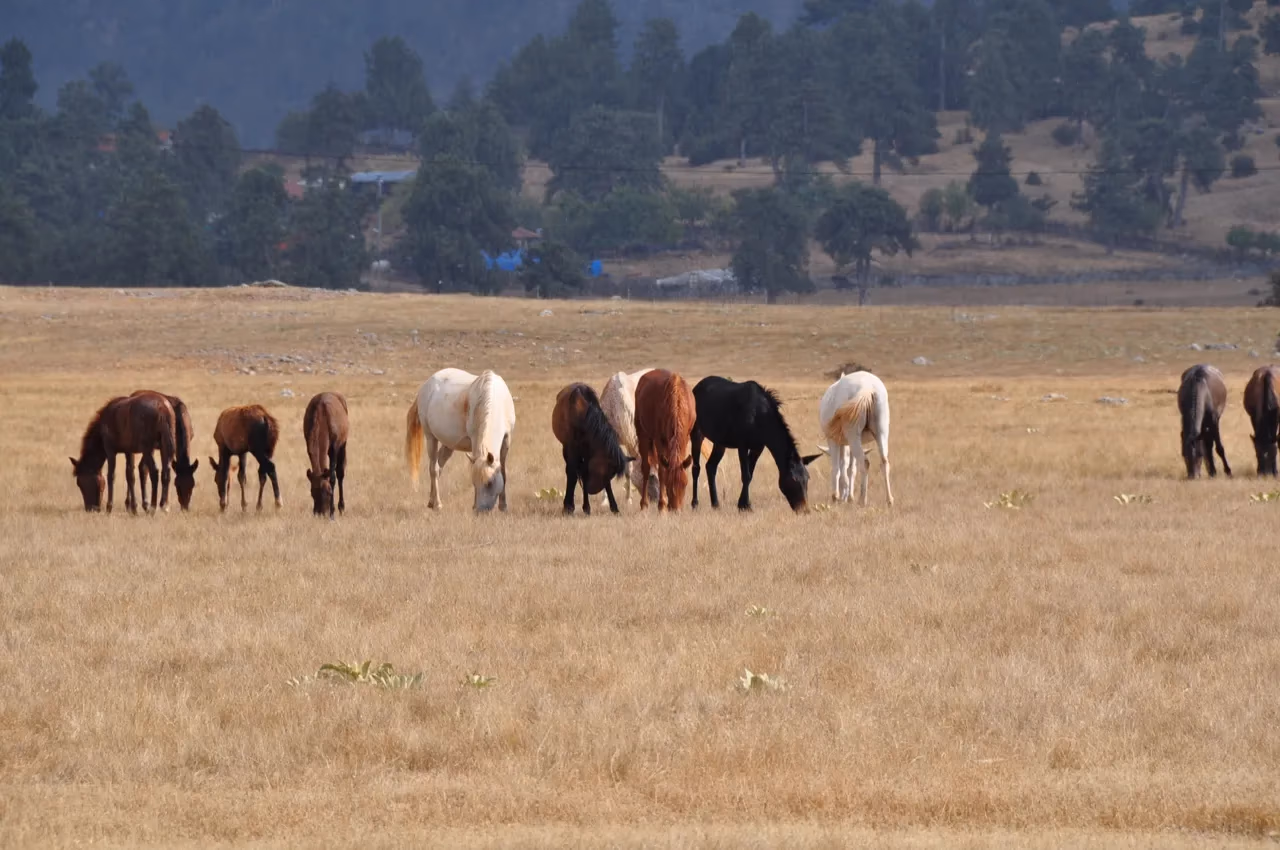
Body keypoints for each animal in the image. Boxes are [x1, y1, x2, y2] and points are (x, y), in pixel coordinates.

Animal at [405, 368, 515, 512]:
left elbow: (503, 472)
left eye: (490, 483)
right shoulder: (475, 441)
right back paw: (438, 504)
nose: (480, 511)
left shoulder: (506, 440)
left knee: (438, 466)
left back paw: (431, 501)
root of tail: (425, 386)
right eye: (474, 482)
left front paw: (503, 506)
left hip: (448, 445)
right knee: (434, 468)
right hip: (430, 438)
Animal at [551, 383, 633, 514]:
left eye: (611, 474)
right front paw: (569, 507)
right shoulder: (572, 448)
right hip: (566, 449)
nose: (593, 490)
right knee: (570, 471)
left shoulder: (589, 452)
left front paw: (611, 507)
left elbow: (584, 473)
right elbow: (573, 473)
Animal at [634, 369, 697, 511]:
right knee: (646, 468)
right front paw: (662, 506)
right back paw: (644, 504)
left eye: (685, 484)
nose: (676, 510)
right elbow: (662, 471)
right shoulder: (659, 440)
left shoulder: (685, 438)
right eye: (668, 485)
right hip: (643, 435)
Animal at [690, 376, 820, 512]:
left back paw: (715, 504)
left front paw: (742, 504)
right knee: (696, 467)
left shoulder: (758, 447)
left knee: (710, 466)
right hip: (696, 432)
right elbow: (745, 475)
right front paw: (746, 505)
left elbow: (750, 474)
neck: (761, 419)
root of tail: (696, 388)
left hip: (719, 442)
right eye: (793, 479)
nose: (804, 510)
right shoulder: (742, 445)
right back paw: (695, 503)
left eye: (807, 478)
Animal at [818, 369, 894, 507]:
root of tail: (868, 387)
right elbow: (850, 469)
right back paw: (889, 500)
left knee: (864, 462)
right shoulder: (847, 444)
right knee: (884, 462)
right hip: (881, 433)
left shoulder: (833, 440)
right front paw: (848, 497)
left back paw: (862, 500)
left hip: (853, 435)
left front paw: (836, 497)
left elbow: (837, 467)